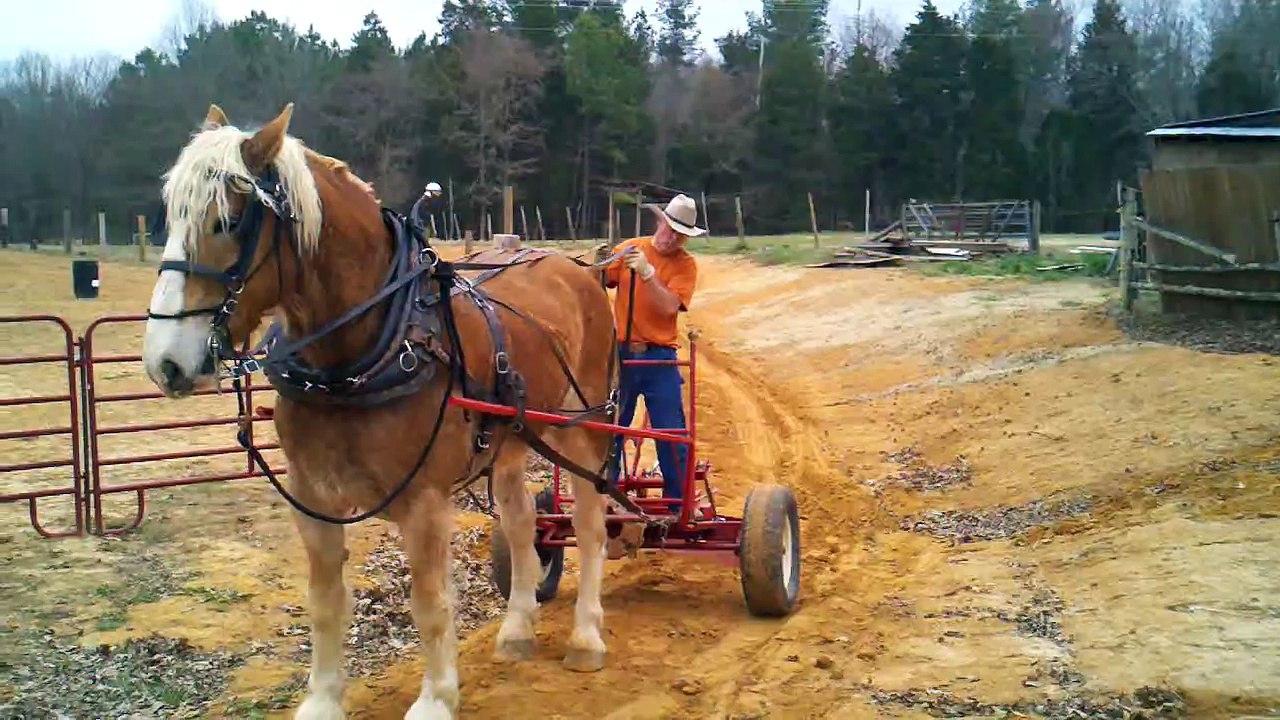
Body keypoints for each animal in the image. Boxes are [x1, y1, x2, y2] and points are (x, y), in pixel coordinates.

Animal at [140, 102, 621, 719]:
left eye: (228, 221)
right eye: (171, 217)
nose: (166, 362)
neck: (366, 352)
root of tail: (579, 268)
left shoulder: (425, 501)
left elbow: (430, 602)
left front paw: (436, 697)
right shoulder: (313, 496)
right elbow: (325, 602)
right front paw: (322, 699)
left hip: (584, 427)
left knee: (589, 525)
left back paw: (587, 636)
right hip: (513, 439)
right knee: (519, 523)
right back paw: (517, 629)